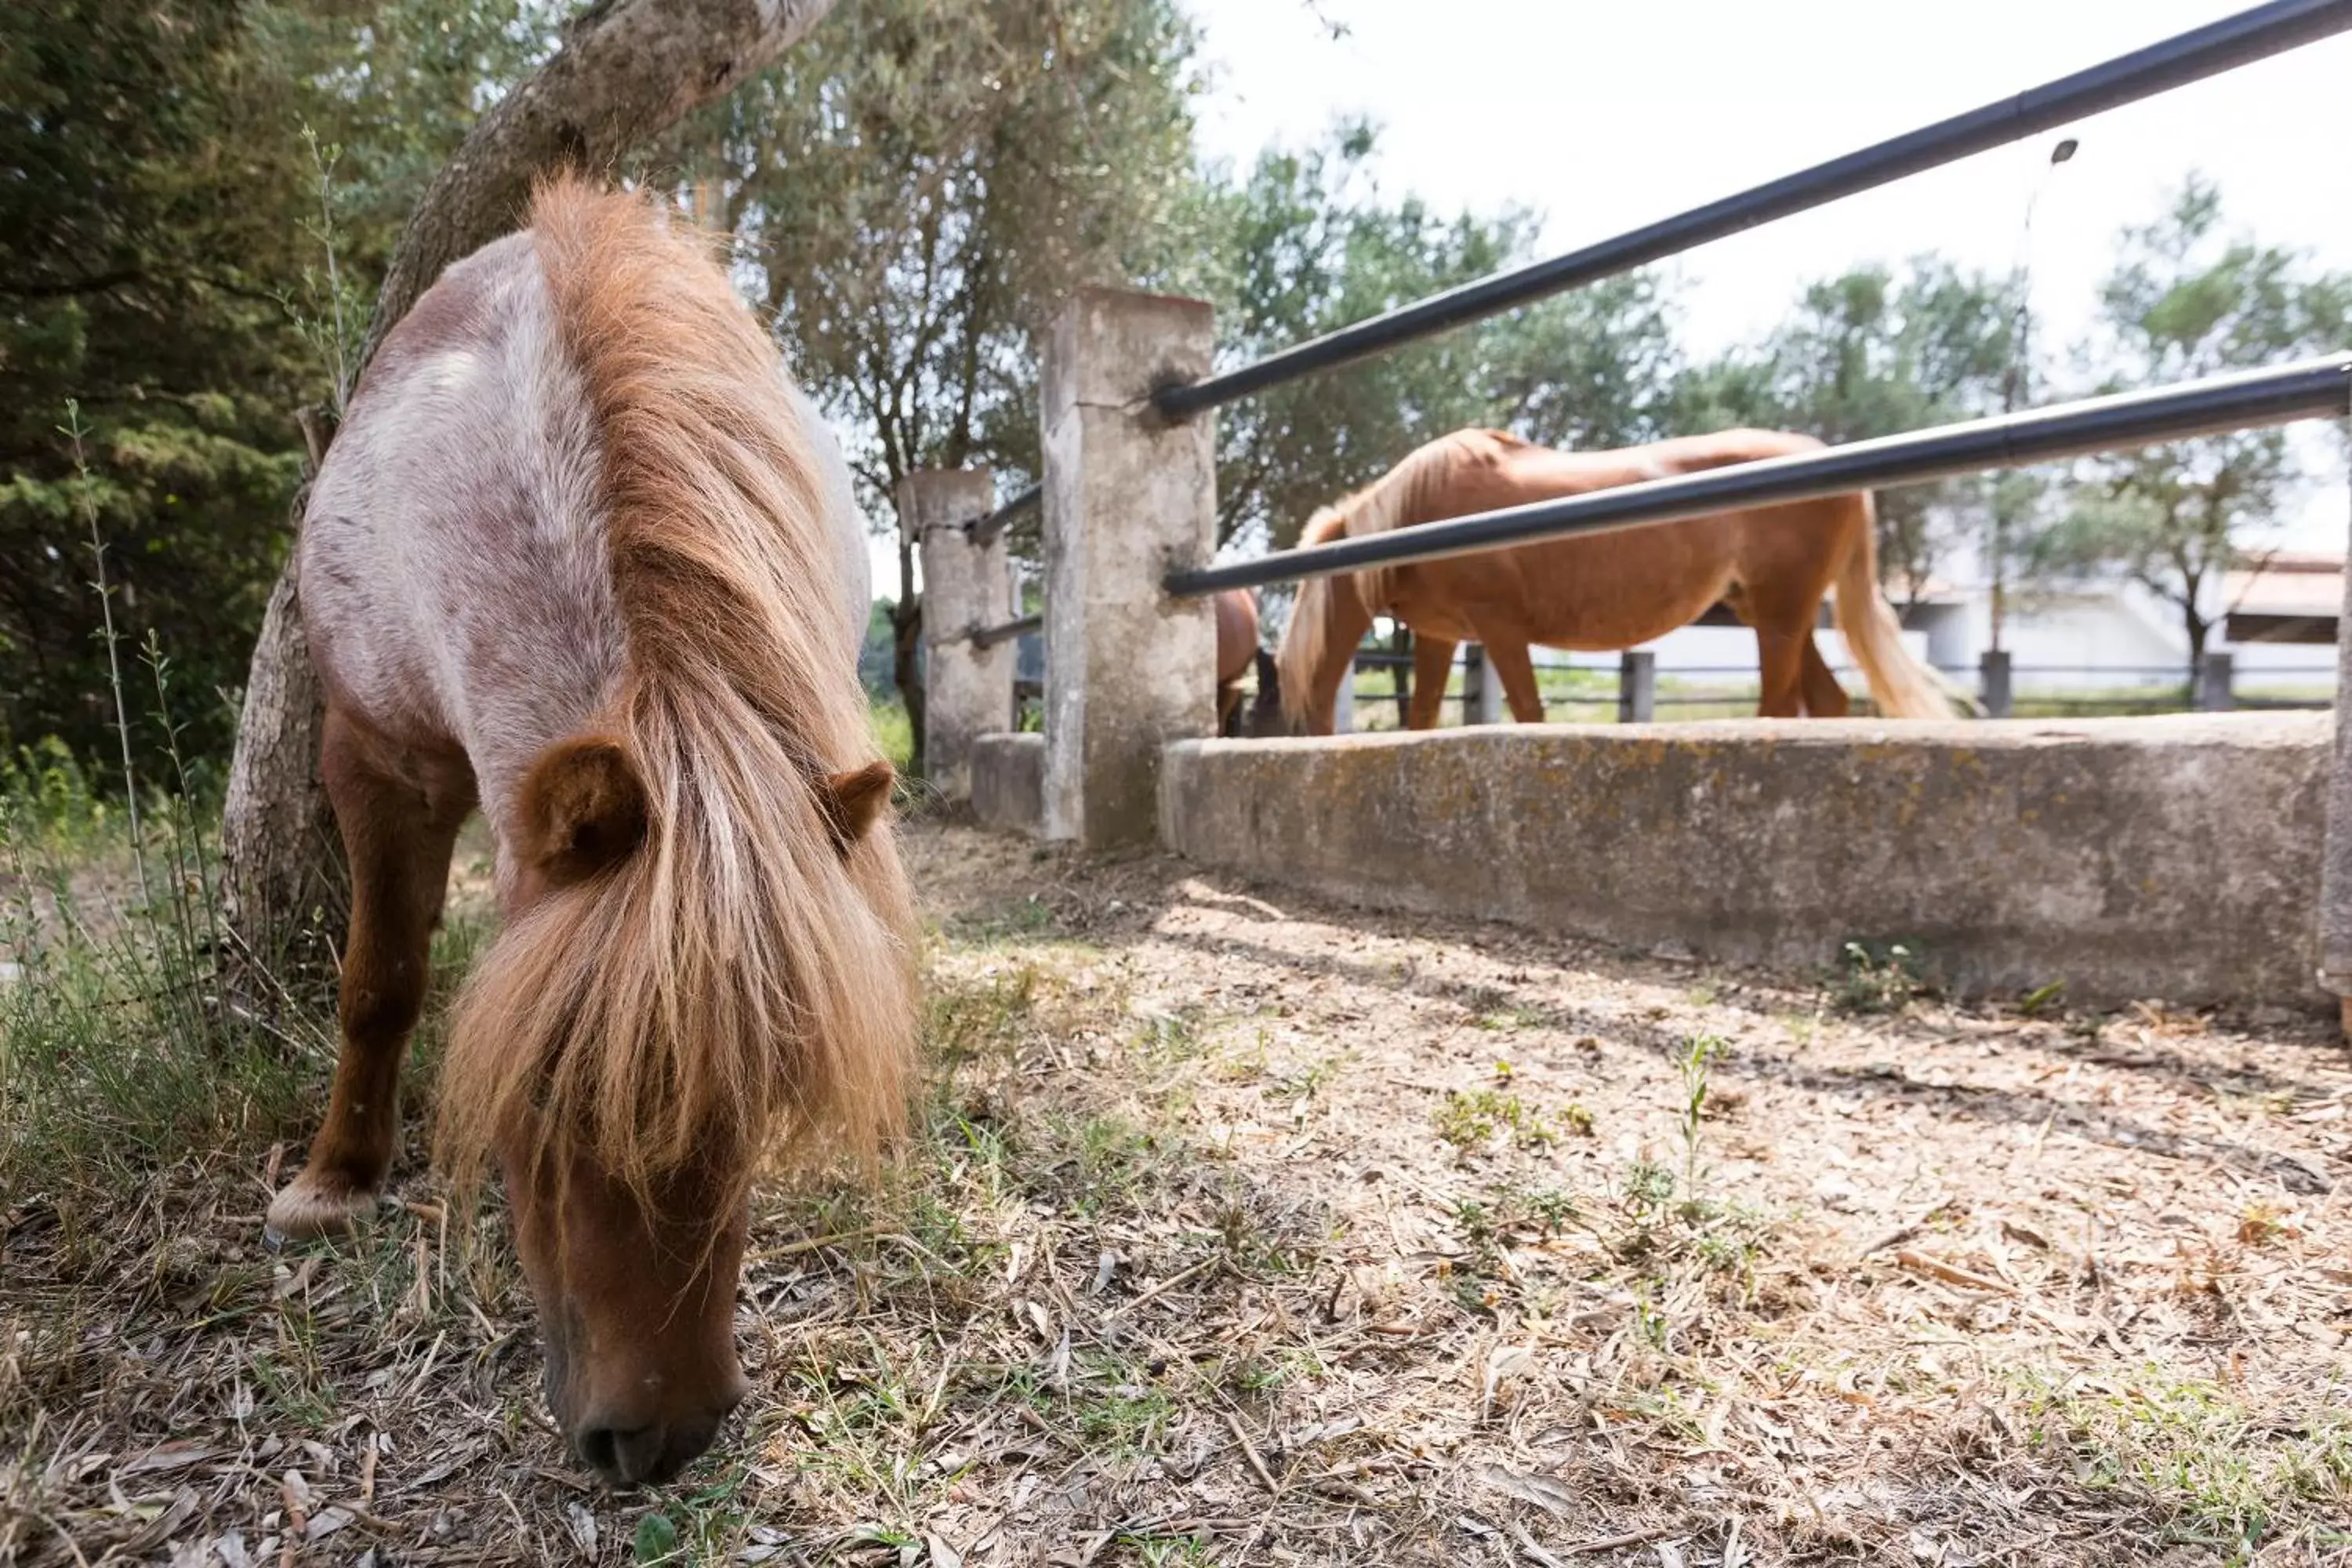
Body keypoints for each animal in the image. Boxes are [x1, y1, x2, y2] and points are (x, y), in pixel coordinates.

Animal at [267, 177, 908, 1495]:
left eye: (767, 1101)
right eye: (550, 1095)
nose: (666, 1436)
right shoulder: (375, 756)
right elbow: (378, 982)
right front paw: (334, 1180)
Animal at [1270, 423, 1966, 728]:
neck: (1421, 516)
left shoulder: (1501, 631)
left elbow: (1529, 713)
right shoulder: (1443, 638)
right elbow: (1421, 718)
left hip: (1780, 613)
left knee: (1777, 704)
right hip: (1774, 613)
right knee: (1823, 700)